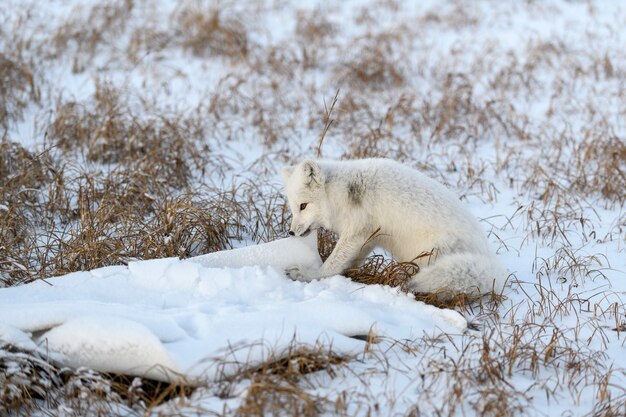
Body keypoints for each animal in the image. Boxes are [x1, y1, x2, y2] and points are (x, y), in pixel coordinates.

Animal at [280, 158, 504, 298]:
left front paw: (307, 276)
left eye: (303, 206)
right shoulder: (367, 239)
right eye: (293, 207)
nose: (291, 232)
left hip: (432, 255)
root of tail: (492, 262)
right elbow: (349, 263)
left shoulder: (355, 233)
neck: (342, 193)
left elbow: (331, 265)